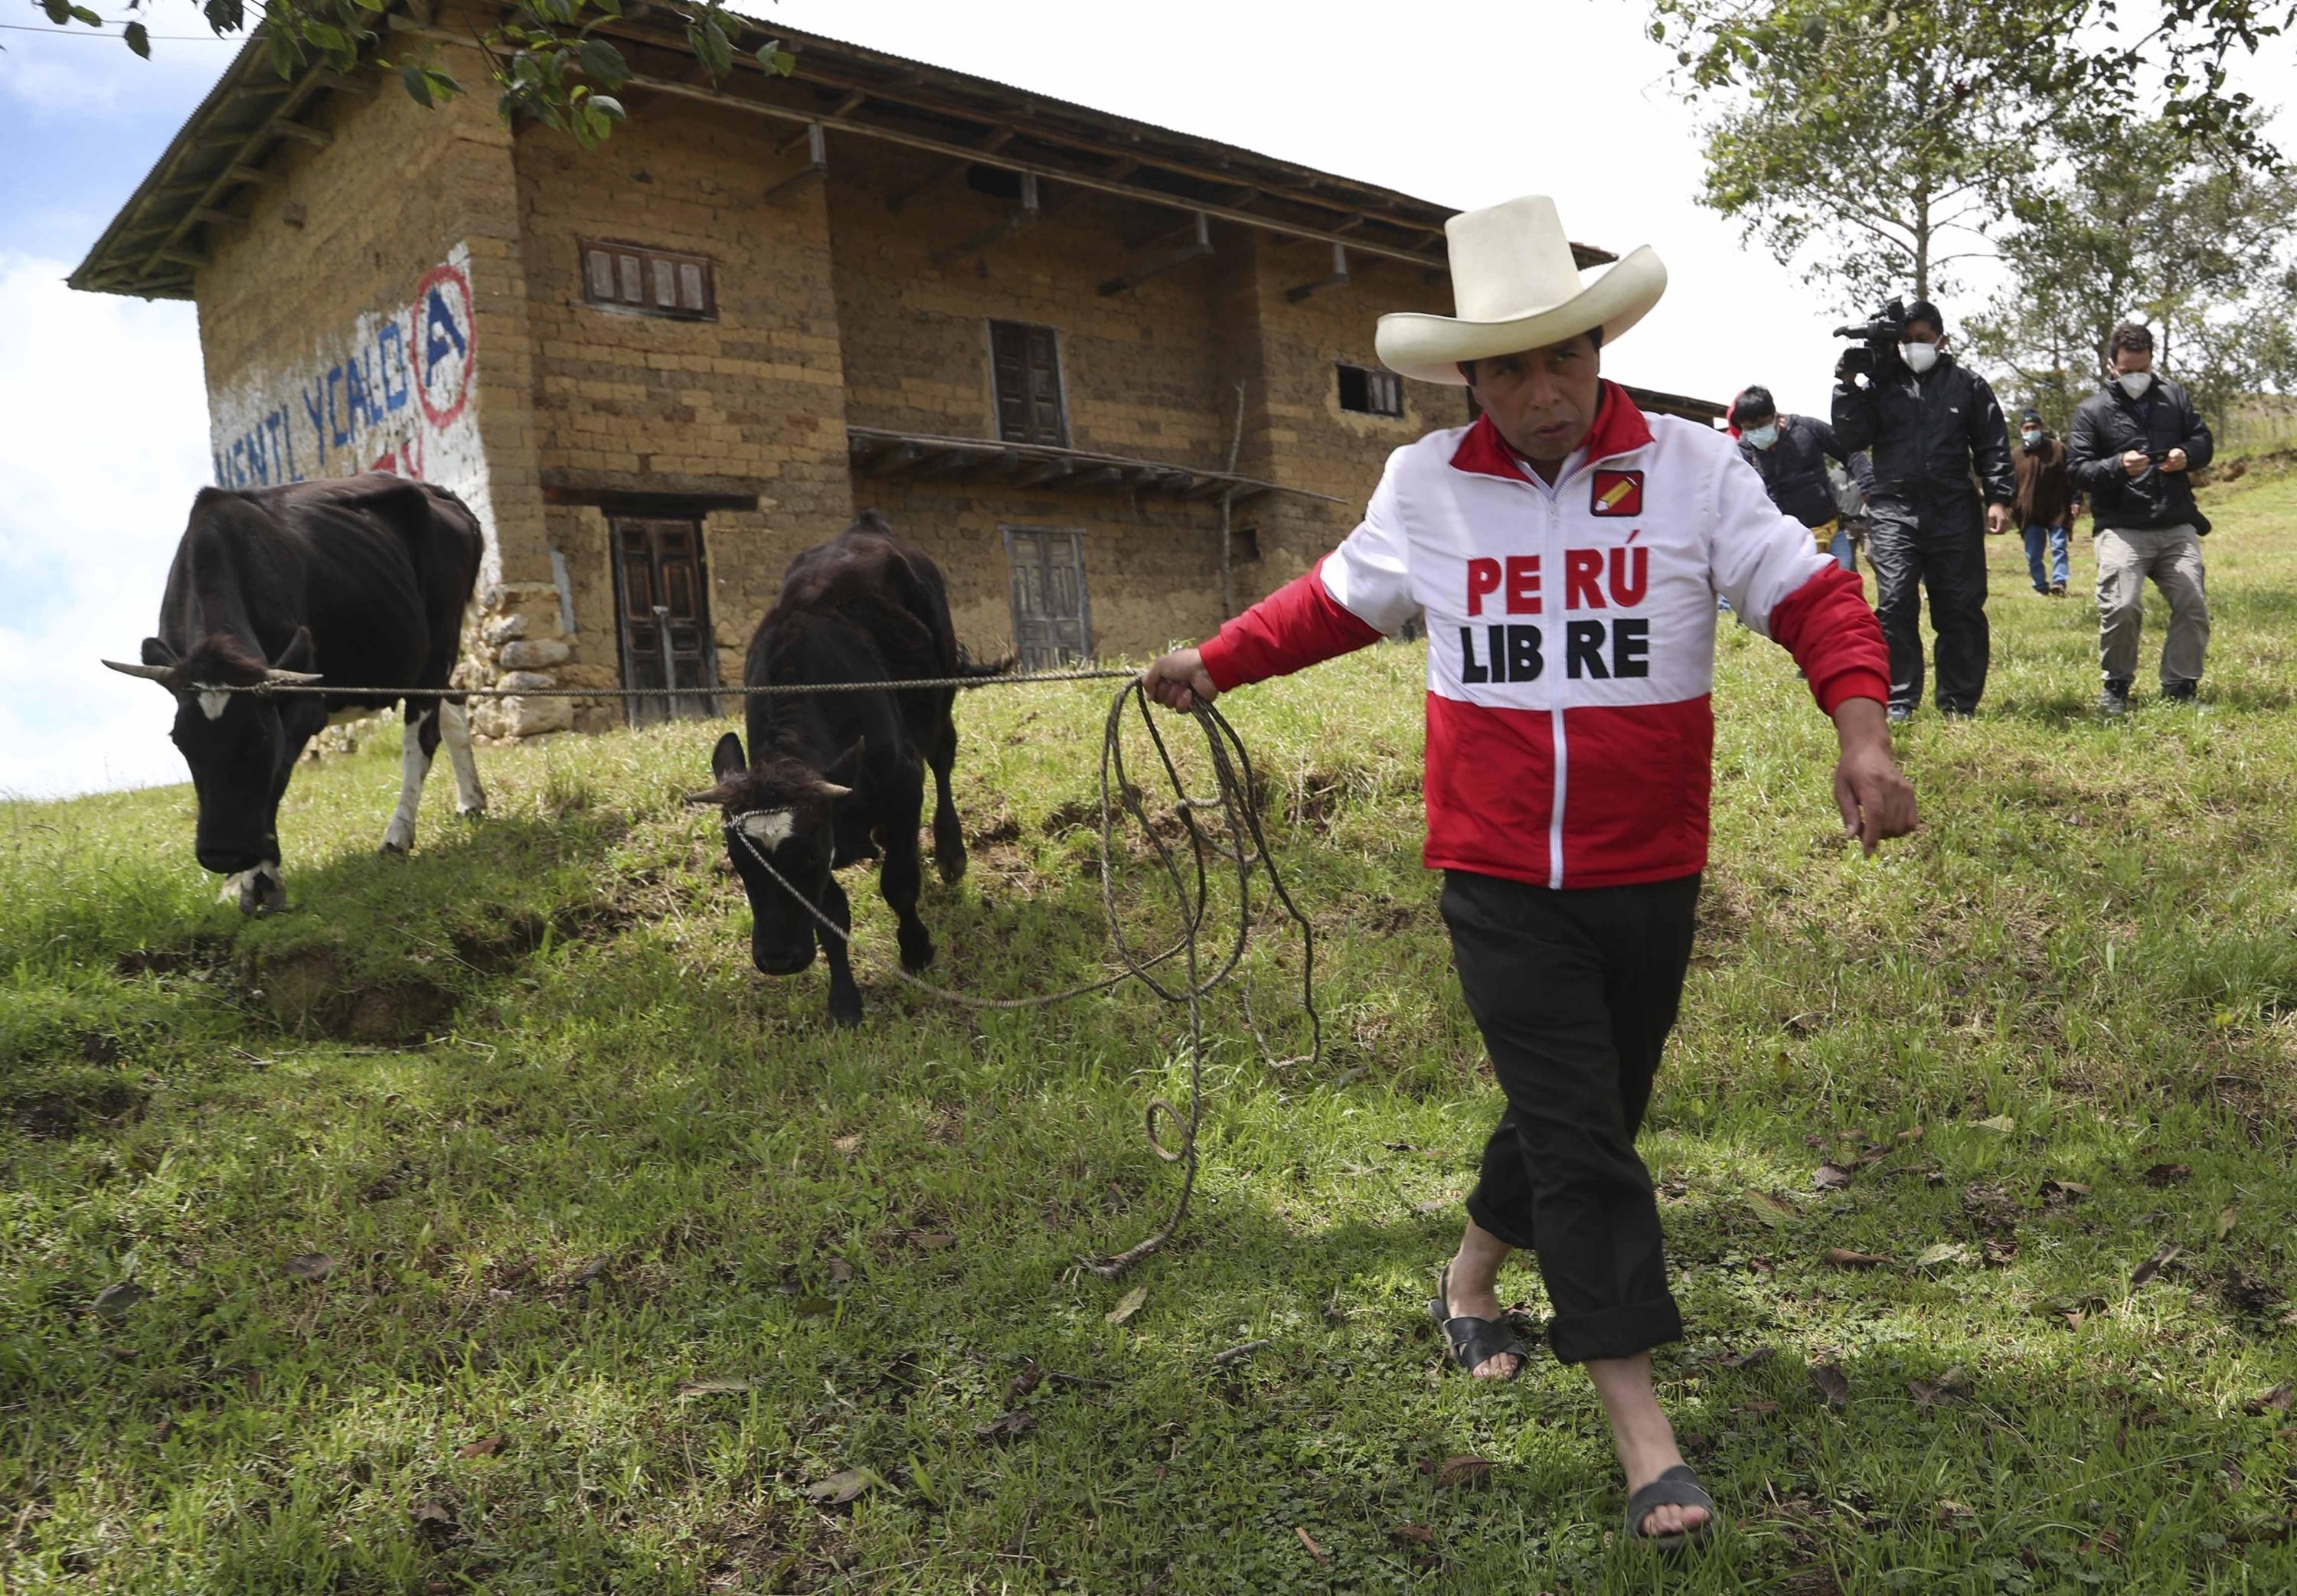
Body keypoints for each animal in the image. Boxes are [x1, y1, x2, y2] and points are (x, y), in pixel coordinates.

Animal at [106, 475, 492, 909]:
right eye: (179, 741)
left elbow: (275, 779)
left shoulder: (302, 703)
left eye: (259, 740)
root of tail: (437, 491)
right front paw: (237, 881)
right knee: (454, 709)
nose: (222, 855)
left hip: (438, 645)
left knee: (420, 739)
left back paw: (397, 837)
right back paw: (471, 803)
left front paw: (260, 880)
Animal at [680, 512, 1006, 1029]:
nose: (778, 959)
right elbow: (831, 916)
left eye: (809, 859)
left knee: (944, 756)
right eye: (739, 863)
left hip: (941, 693)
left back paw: (950, 852)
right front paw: (845, 1001)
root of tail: (866, 526)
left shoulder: (902, 785)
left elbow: (899, 883)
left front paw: (916, 949)